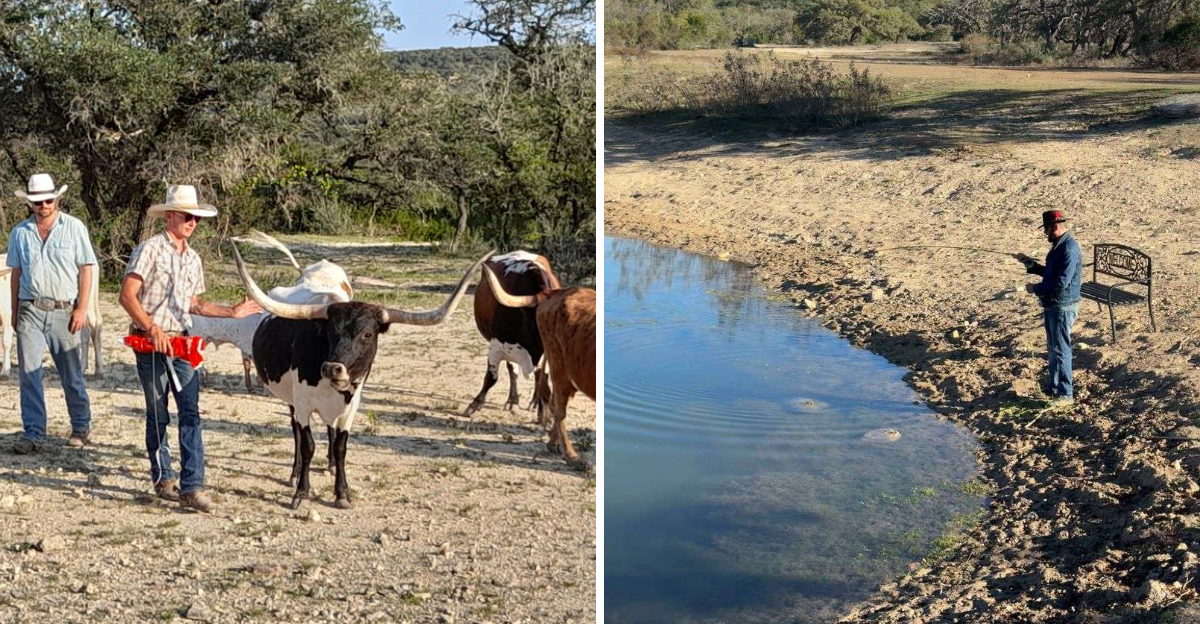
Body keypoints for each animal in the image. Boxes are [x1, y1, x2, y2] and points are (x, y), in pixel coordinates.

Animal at [233, 246, 491, 509]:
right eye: (329, 332)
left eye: (367, 334)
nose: (332, 368)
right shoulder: (303, 403)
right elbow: (307, 446)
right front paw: (301, 493)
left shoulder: (351, 406)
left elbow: (340, 447)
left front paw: (342, 493)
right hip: (291, 399)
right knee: (295, 430)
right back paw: (294, 473)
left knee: (330, 430)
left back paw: (330, 466)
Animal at [462, 251, 561, 418]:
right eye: (542, 318)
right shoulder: (497, 346)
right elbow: (492, 377)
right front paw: (475, 404)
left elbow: (543, 378)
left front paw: (542, 409)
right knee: (512, 371)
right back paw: (512, 401)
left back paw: (533, 403)